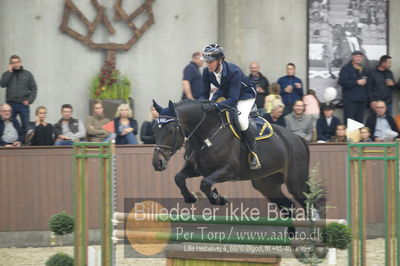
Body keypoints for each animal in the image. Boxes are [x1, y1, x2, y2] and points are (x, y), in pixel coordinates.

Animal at [152, 99, 320, 218]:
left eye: (170, 130)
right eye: (155, 128)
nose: (156, 163)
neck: (207, 132)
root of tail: (299, 139)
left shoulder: (229, 170)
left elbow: (205, 183)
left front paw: (218, 198)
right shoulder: (197, 169)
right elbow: (178, 177)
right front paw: (191, 197)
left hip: (295, 182)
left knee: (309, 204)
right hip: (267, 184)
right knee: (288, 207)